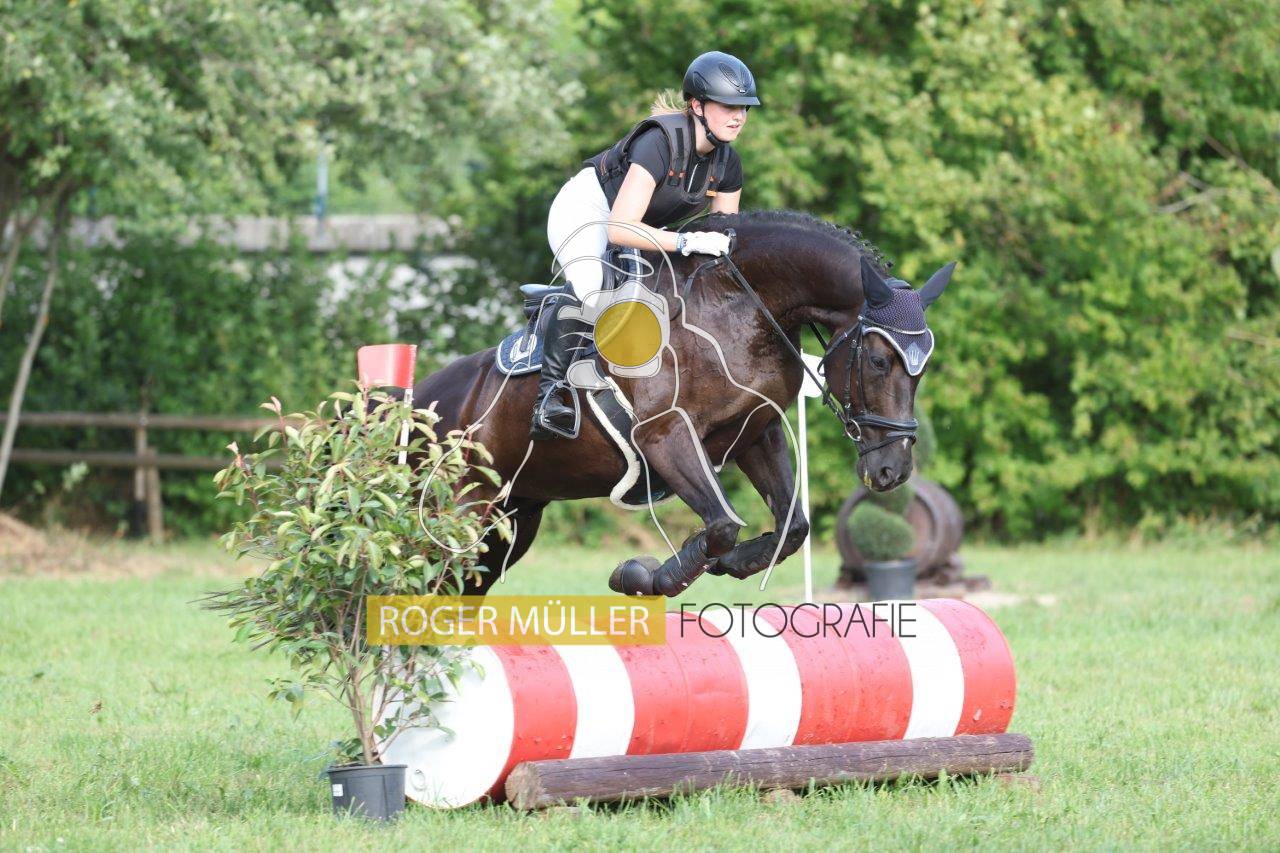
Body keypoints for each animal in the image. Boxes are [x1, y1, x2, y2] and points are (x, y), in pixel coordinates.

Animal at [412, 210, 954, 597]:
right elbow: (722, 524)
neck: (737, 306)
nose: (891, 472)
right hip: (458, 513)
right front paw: (644, 577)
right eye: (879, 361)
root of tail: (413, 402)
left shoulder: (756, 432)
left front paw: (732, 564)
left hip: (511, 521)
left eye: (924, 367)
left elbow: (790, 526)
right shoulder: (664, 436)